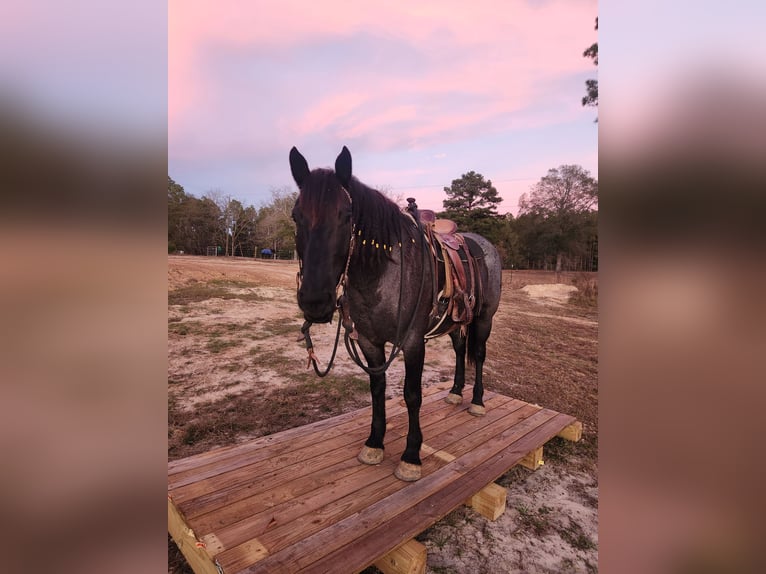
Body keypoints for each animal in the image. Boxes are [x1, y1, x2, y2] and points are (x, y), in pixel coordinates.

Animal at [289, 146, 502, 481]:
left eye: (346, 215)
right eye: (296, 216)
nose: (314, 300)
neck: (382, 273)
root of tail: (483, 244)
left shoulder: (413, 342)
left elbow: (412, 394)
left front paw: (411, 456)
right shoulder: (369, 341)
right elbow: (377, 389)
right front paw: (374, 443)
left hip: (484, 318)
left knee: (478, 355)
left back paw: (477, 401)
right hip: (454, 322)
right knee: (459, 350)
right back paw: (456, 392)